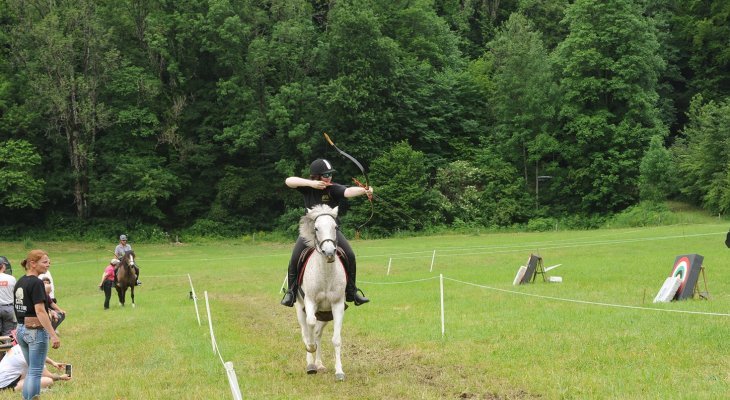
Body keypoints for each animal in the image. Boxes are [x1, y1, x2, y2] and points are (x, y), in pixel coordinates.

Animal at [292, 205, 346, 382]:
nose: (329, 252)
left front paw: (339, 371)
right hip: (300, 309)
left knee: (317, 333)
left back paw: (319, 364)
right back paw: (311, 365)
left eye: (335, 227)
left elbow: (336, 339)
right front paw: (311, 348)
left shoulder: (337, 305)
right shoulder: (310, 302)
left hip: (325, 315)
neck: (325, 275)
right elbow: (310, 325)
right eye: (316, 228)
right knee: (306, 331)